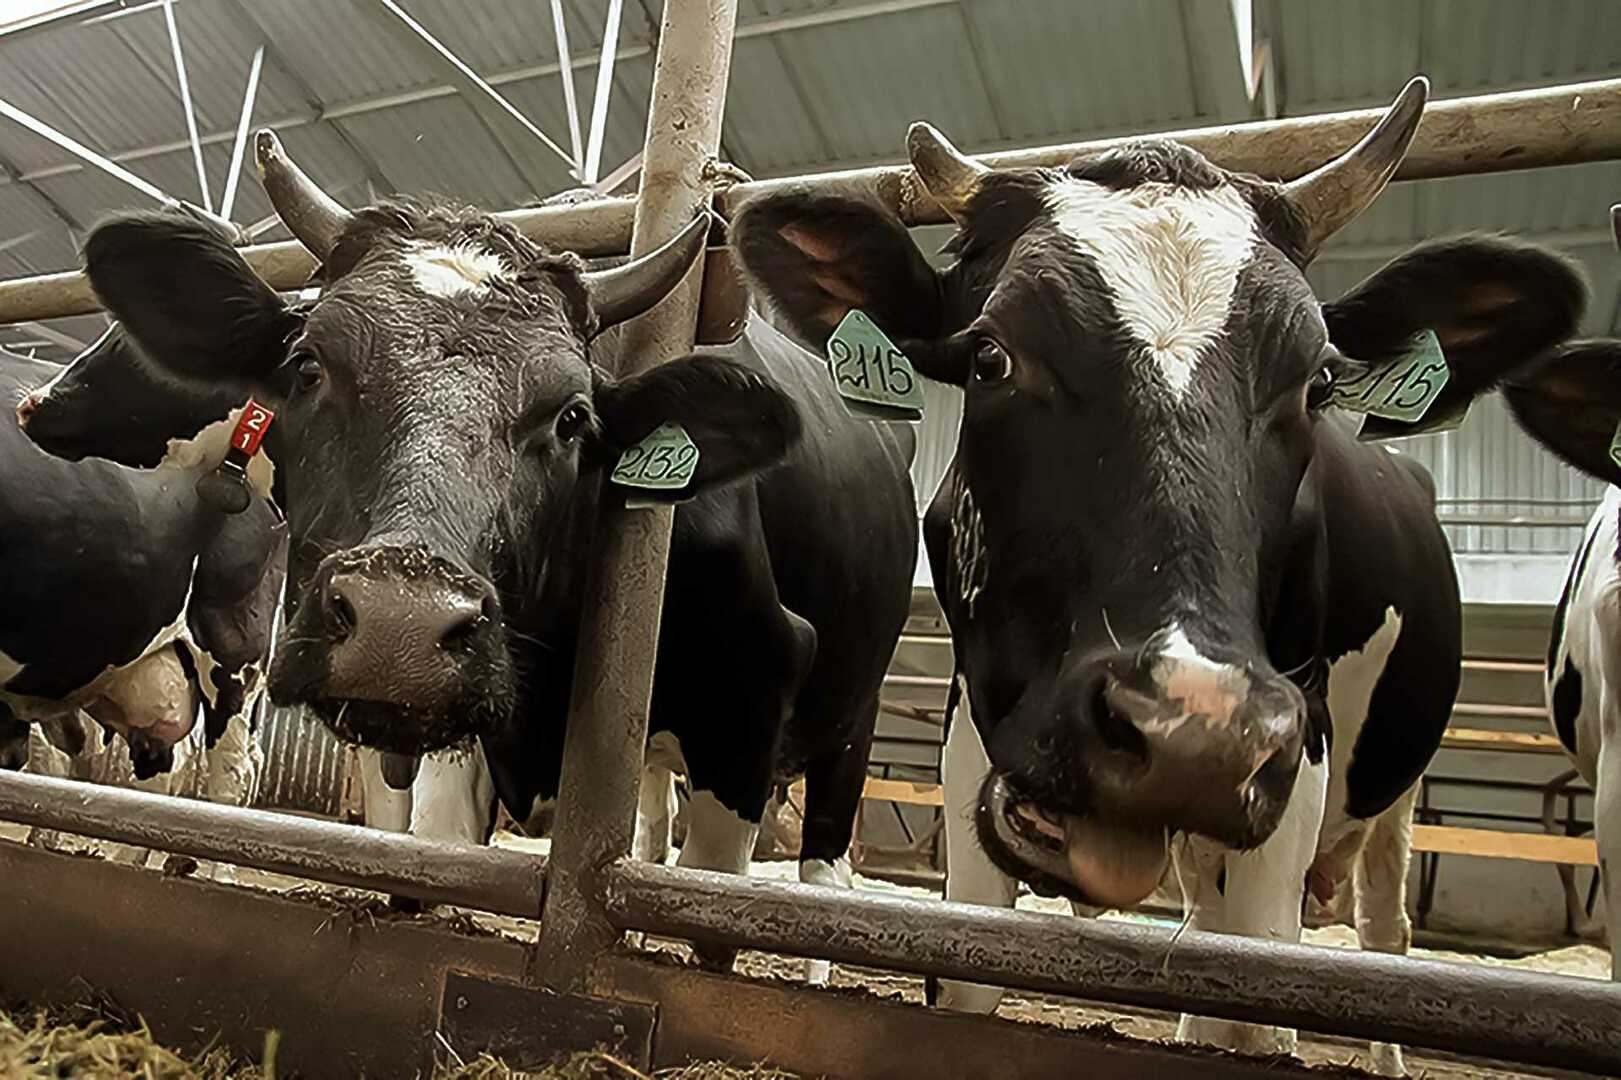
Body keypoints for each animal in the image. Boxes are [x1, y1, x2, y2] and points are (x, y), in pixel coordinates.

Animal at [732, 77, 1582, 1070]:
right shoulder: (974, 728)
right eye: (989, 355)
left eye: (1320, 383)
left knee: (1382, 930)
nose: (1192, 727)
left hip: (1390, 790)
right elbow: (967, 979)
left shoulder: (1296, 745)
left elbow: (1260, 1003)